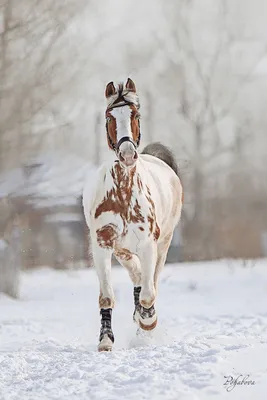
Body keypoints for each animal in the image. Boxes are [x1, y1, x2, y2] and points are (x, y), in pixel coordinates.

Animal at [83, 77, 184, 350]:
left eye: (135, 114)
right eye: (109, 117)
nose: (127, 154)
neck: (123, 193)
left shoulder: (149, 244)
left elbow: (149, 294)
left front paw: (147, 321)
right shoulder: (103, 245)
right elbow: (107, 296)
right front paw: (105, 340)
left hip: (163, 244)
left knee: (151, 282)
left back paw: (144, 322)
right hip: (122, 251)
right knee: (137, 275)